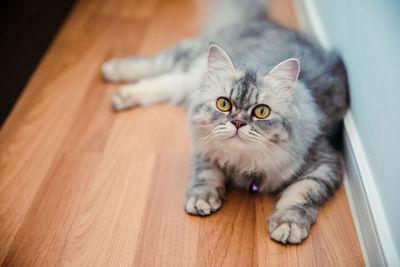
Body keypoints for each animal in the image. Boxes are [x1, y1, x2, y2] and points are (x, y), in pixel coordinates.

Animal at [101, 0, 348, 245]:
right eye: (223, 104)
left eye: (261, 111)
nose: (238, 123)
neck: (243, 162)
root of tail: (262, 21)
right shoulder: (205, 146)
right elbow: (207, 174)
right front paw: (202, 199)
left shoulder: (325, 163)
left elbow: (301, 194)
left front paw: (288, 224)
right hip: (189, 62)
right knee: (157, 65)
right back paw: (113, 74)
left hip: (186, 81)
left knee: (166, 81)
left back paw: (122, 94)